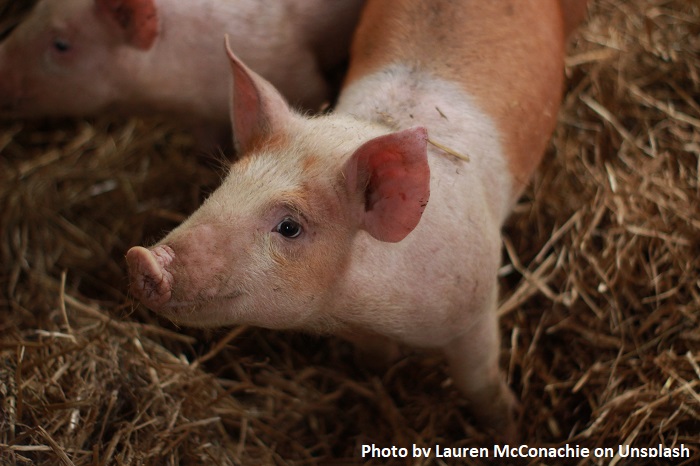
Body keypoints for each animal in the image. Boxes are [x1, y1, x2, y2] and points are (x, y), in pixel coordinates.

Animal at [129, 0, 588, 440]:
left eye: (290, 227)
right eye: (225, 184)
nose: (141, 259)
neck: (371, 309)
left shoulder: (476, 306)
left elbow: (481, 385)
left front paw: (508, 426)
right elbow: (375, 358)